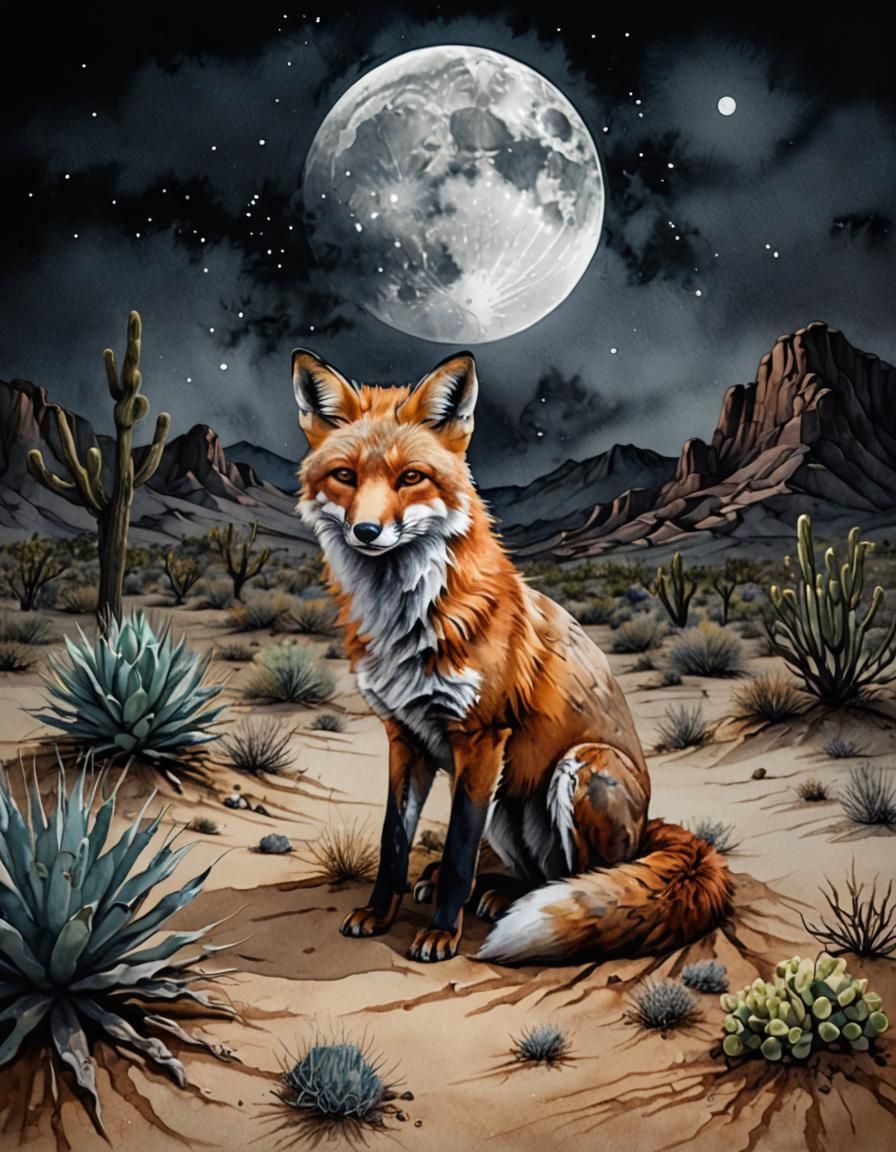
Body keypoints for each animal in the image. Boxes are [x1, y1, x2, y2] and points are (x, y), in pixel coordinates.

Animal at [292, 347, 734, 964]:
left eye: (411, 478)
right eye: (346, 476)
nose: (367, 531)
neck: (406, 621)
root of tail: (651, 828)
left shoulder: (481, 736)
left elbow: (458, 851)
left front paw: (440, 932)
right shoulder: (404, 736)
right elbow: (393, 840)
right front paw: (380, 913)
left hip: (581, 769)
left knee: (580, 878)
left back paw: (513, 902)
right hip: (506, 804)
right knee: (529, 872)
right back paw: (494, 890)